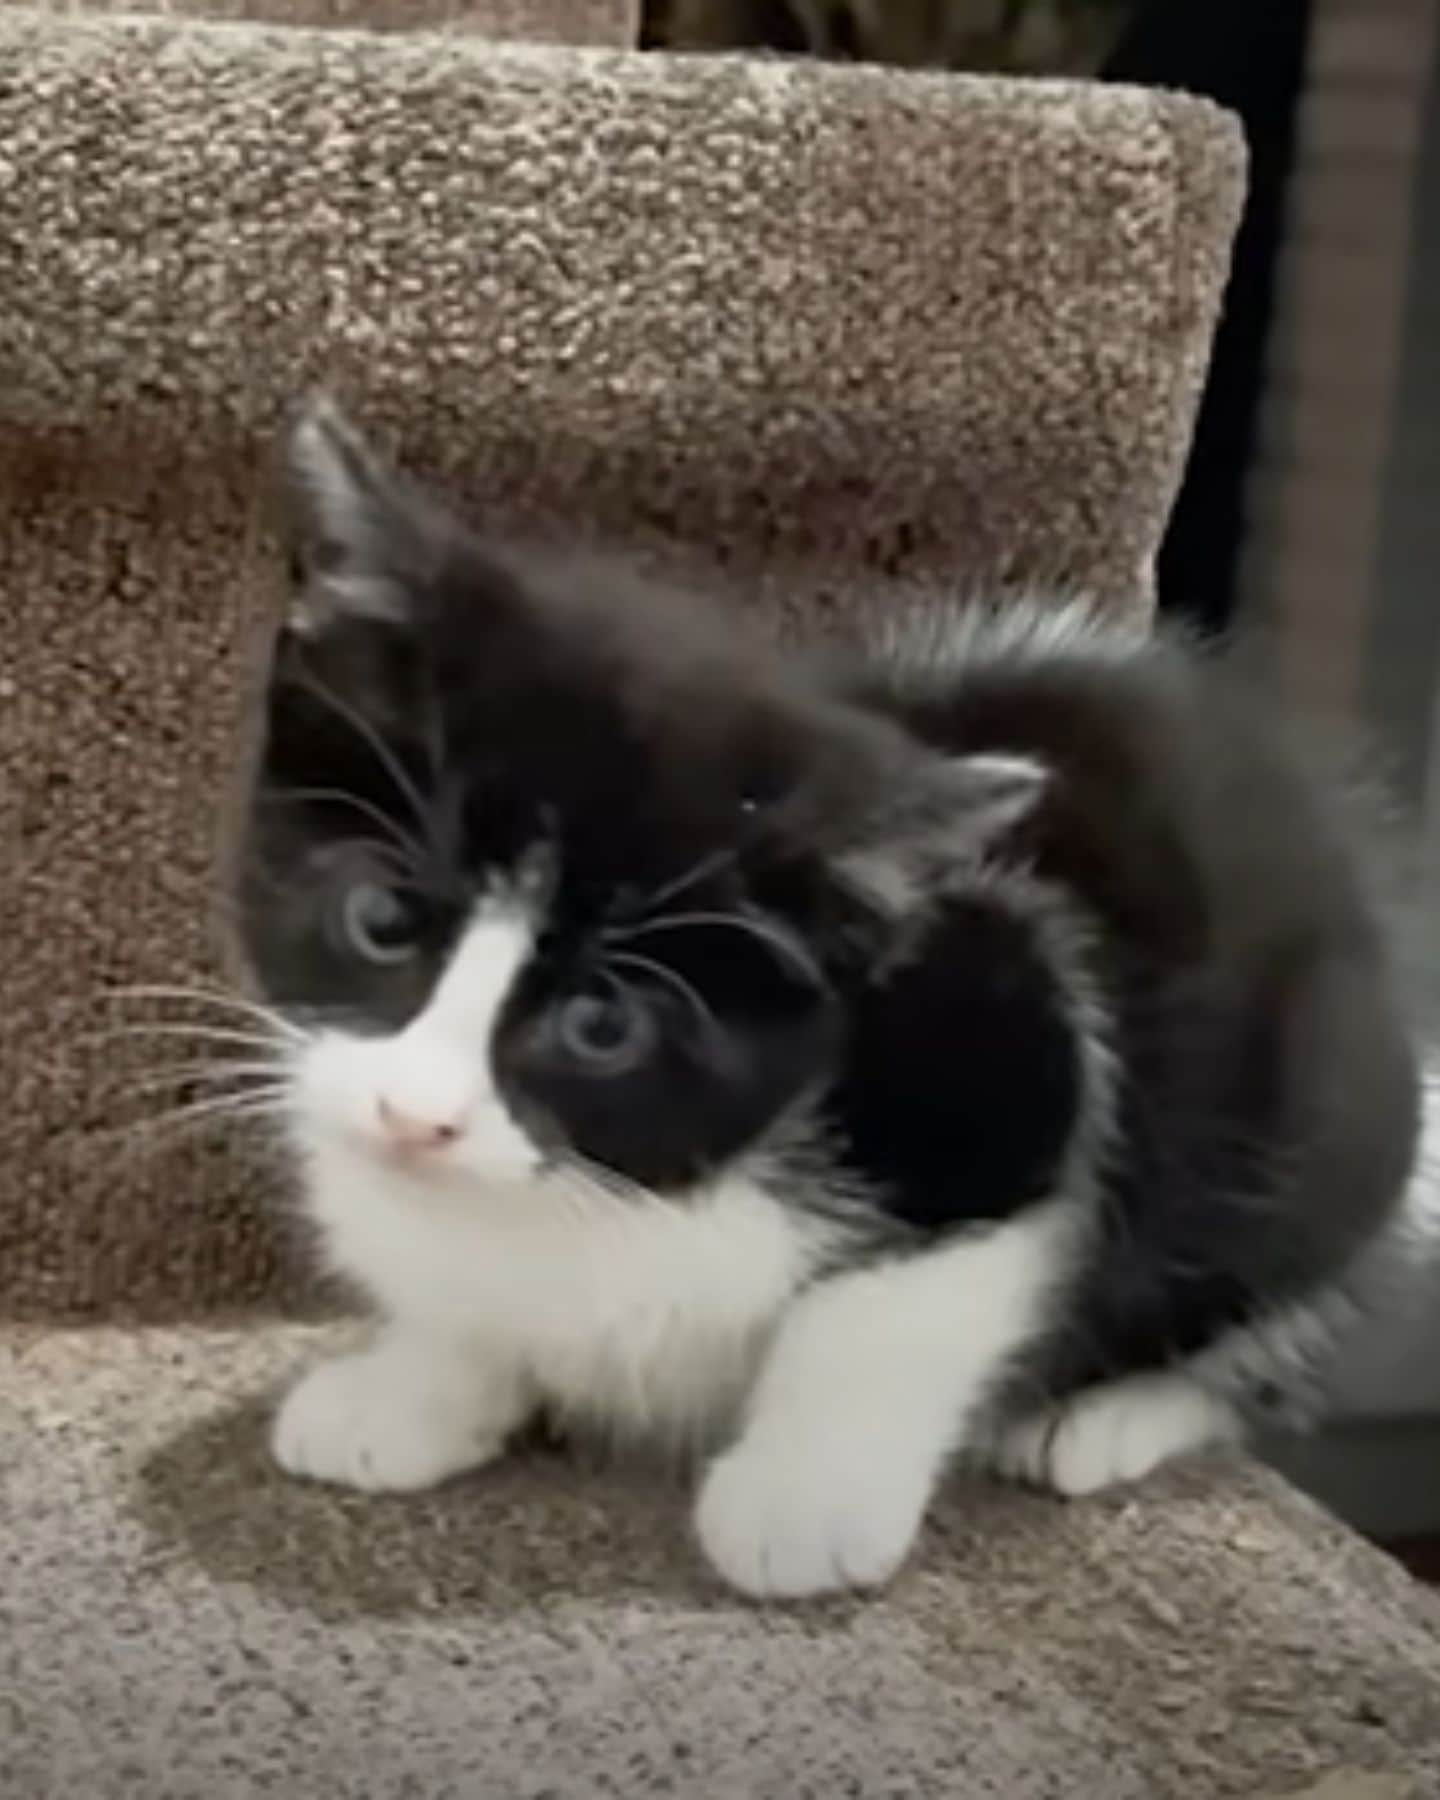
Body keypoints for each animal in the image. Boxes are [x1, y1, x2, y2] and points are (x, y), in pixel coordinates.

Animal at [235, 401, 1425, 1598]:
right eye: (383, 920)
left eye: (604, 1023)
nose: (412, 1117)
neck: (618, 1181)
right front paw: (413, 1388)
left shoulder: (1014, 1065)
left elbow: (884, 1314)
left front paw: (803, 1502)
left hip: (1324, 1145)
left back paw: (1107, 1419)